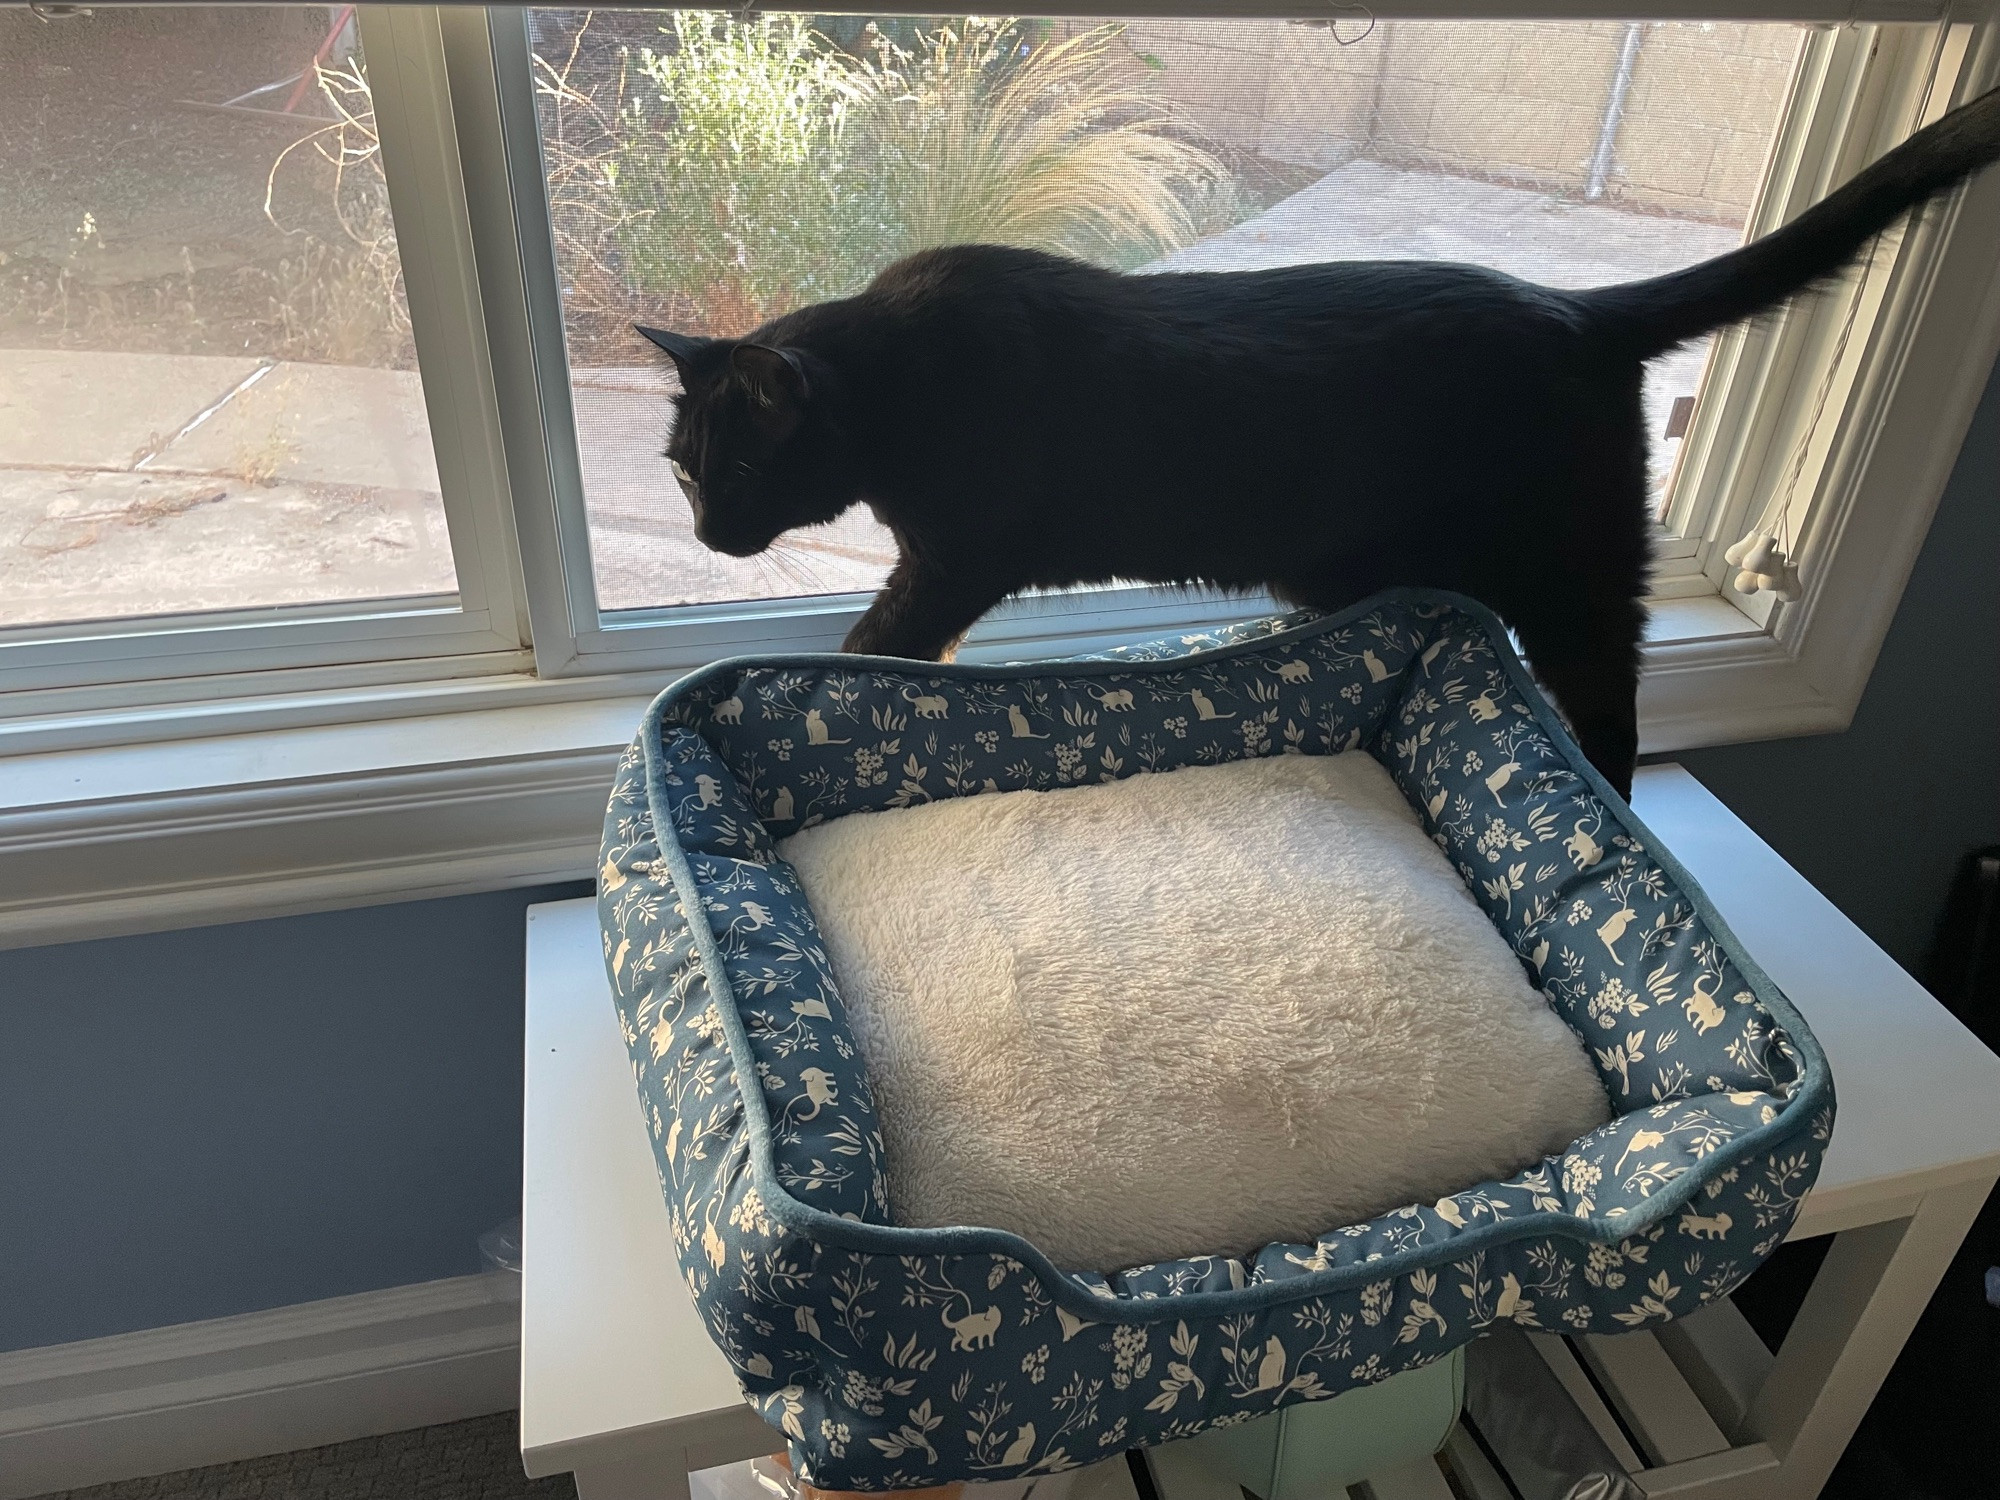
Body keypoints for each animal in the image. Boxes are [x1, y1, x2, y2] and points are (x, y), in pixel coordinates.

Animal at [636, 86, 2000, 800]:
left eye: (738, 467)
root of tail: (1572, 308)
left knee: (1608, 699)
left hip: (1570, 571)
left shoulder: (951, 560)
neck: (898, 383)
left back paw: (1612, 807)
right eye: (683, 471)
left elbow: (882, 641)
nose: (705, 530)